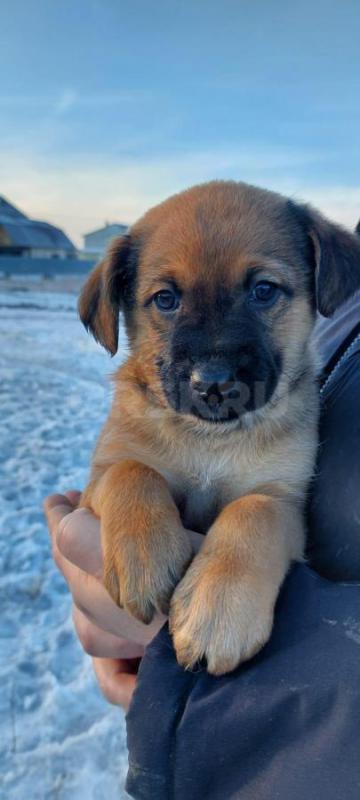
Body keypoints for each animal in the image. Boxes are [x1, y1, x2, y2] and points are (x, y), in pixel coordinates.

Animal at [77, 181, 360, 676]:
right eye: (166, 299)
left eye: (263, 291)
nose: (212, 383)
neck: (210, 440)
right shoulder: (99, 476)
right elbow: (131, 470)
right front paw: (146, 557)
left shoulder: (284, 499)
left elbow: (252, 511)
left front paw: (219, 609)